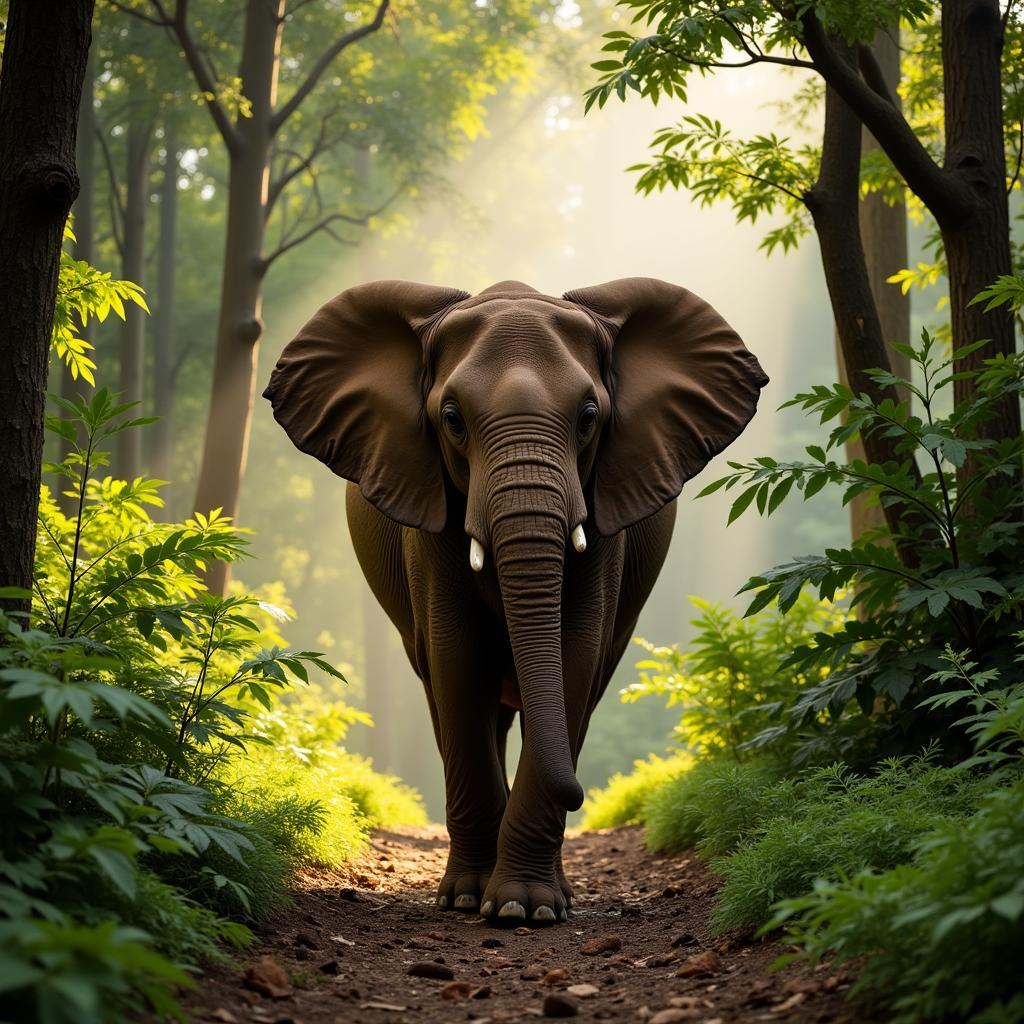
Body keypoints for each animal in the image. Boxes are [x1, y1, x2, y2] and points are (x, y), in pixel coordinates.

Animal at [264, 278, 770, 929]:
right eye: (452, 419)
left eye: (588, 418)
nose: (583, 794)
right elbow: (456, 658)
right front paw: (468, 900)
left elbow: (574, 653)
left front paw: (524, 908)